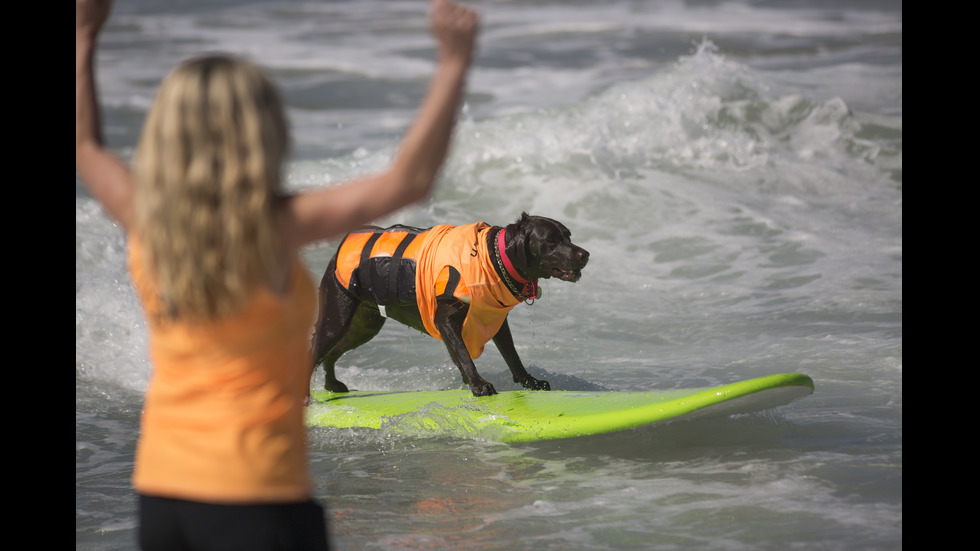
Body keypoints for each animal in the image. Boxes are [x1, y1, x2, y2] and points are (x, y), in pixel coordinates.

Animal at [310, 212, 588, 396]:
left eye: (568, 236)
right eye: (551, 241)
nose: (585, 254)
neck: (491, 257)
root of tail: (338, 248)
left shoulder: (496, 322)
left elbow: (512, 356)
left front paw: (530, 382)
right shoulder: (445, 319)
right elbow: (464, 354)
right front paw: (478, 384)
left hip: (364, 325)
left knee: (331, 353)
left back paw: (332, 385)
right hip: (336, 319)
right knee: (315, 351)